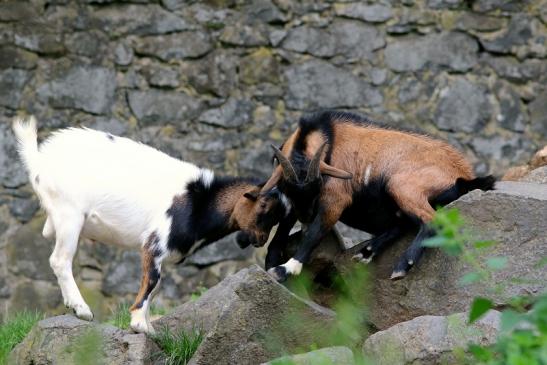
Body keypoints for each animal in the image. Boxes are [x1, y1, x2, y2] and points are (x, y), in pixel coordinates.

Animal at [262, 109, 496, 280]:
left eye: (317, 186)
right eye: (288, 188)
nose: (306, 217)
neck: (328, 134)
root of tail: (464, 173)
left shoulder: (335, 199)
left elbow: (313, 235)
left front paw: (284, 269)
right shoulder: (291, 201)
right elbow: (281, 230)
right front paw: (271, 262)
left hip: (400, 185)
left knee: (431, 220)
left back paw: (401, 266)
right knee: (405, 222)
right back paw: (367, 252)